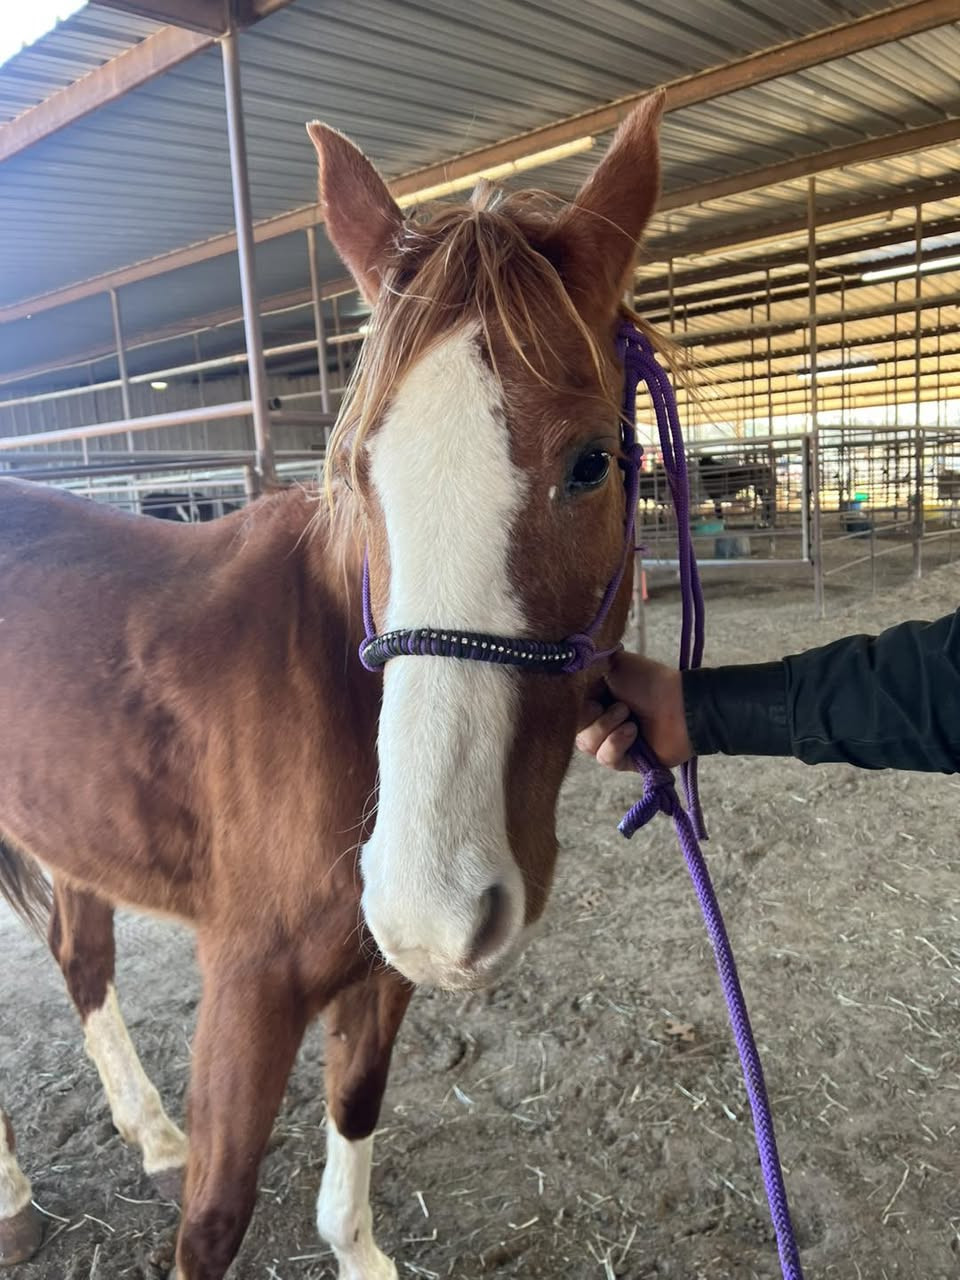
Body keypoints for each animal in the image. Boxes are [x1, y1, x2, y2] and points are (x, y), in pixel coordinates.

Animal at [0, 94, 664, 1278]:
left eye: (594, 461)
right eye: (355, 468)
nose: (431, 898)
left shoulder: (380, 970)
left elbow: (353, 1108)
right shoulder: (250, 987)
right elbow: (215, 1218)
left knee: (82, 959)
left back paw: (148, 1132)